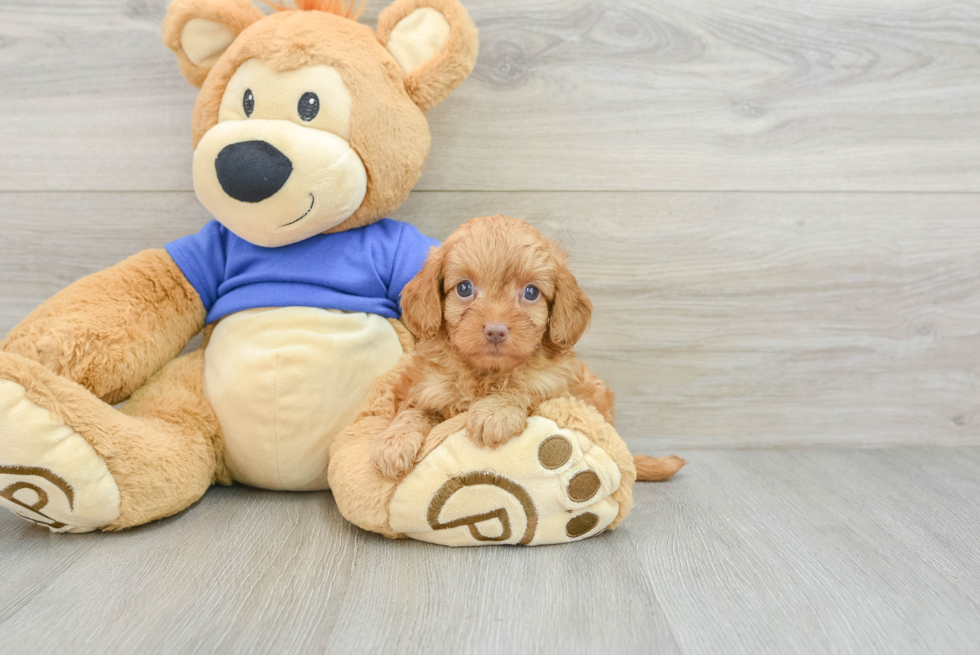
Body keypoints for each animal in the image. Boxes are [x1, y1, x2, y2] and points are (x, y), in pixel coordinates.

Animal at [372, 218, 616, 480]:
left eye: (531, 292)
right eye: (464, 288)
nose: (496, 331)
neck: (485, 373)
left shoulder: (556, 382)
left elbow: (526, 384)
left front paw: (495, 412)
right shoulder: (427, 387)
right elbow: (413, 409)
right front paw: (395, 440)